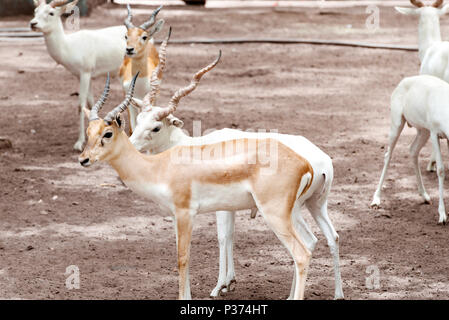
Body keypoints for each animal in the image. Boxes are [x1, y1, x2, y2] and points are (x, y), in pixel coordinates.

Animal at [29, 0, 128, 151]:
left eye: (51, 13)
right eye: (35, 11)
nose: (33, 23)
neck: (69, 47)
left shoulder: (85, 73)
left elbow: (80, 105)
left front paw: (79, 142)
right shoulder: (83, 76)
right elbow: (91, 103)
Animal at [79, 69, 340, 302]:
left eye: (108, 133)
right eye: (89, 131)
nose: (84, 159)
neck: (159, 166)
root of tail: (307, 162)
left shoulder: (187, 213)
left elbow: (184, 257)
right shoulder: (177, 216)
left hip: (277, 215)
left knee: (302, 253)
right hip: (307, 208)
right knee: (322, 240)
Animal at [119, 4, 164, 134]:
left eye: (144, 36)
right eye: (126, 36)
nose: (129, 49)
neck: (139, 83)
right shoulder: (129, 101)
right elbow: (133, 128)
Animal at [370, 75, 448, 225]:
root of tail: (404, 81)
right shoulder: (435, 133)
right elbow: (440, 170)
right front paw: (442, 215)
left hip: (423, 131)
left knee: (412, 150)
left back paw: (425, 196)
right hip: (397, 124)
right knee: (388, 155)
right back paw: (376, 200)